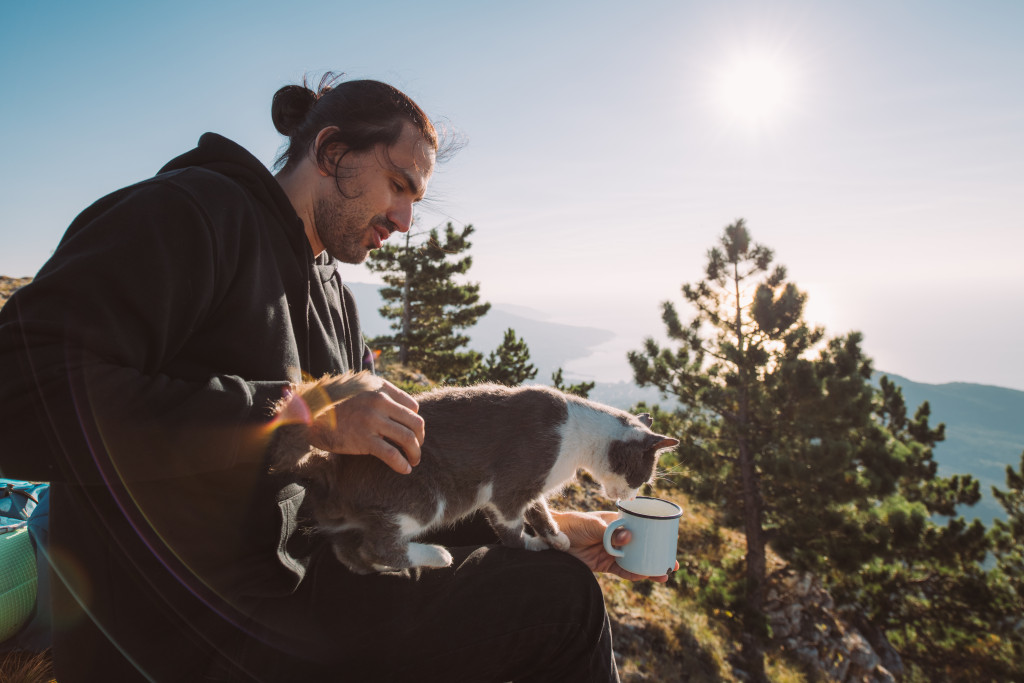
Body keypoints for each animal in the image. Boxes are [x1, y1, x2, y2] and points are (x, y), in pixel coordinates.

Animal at [270, 370, 679, 573]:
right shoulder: (513, 482)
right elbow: (510, 524)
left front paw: (557, 537)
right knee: (380, 545)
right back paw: (437, 556)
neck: (579, 436)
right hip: (427, 493)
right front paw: (531, 544)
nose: (629, 498)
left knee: (352, 552)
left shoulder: (533, 487)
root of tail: (332, 466)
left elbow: (539, 510)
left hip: (352, 521)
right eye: (643, 479)